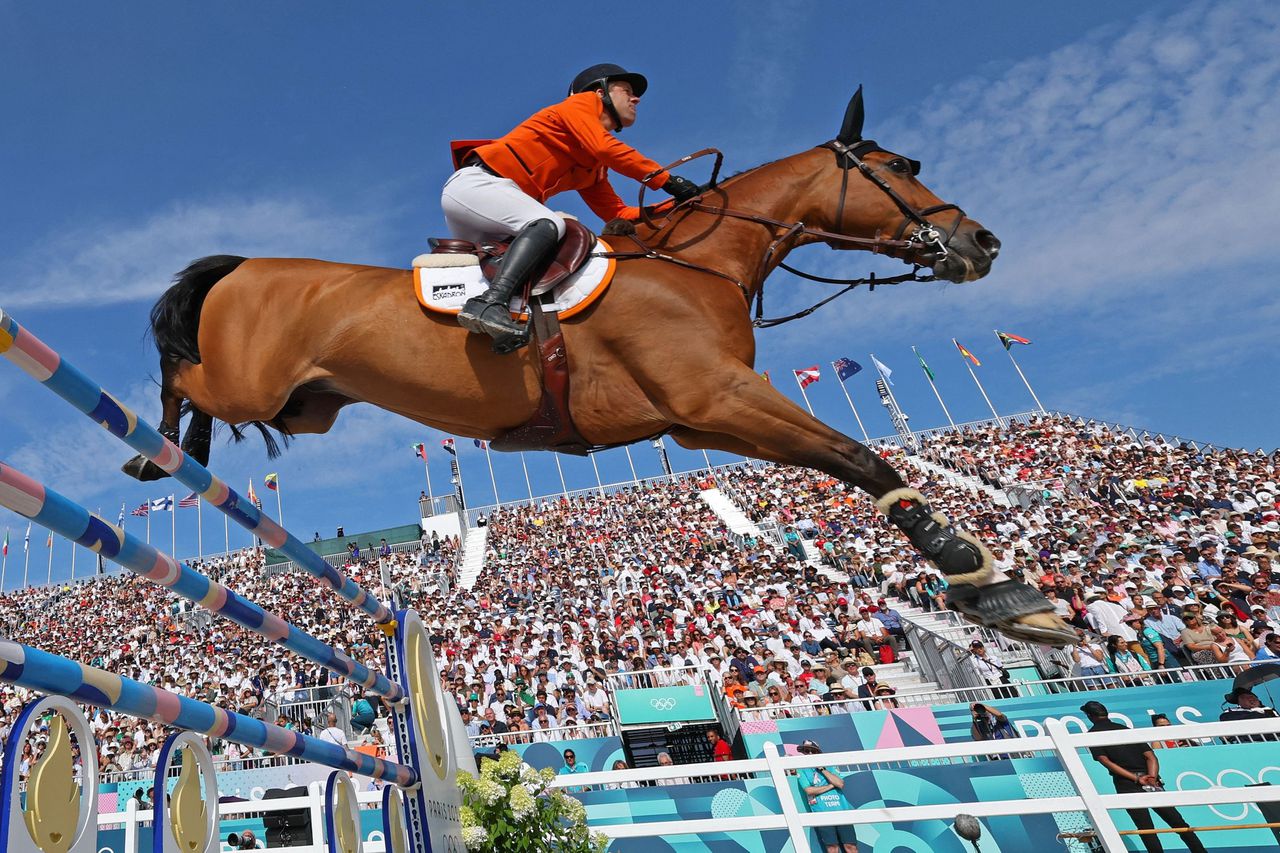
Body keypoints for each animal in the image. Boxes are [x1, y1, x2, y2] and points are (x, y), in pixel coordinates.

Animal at [124, 87, 1075, 645]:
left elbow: (843, 458)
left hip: (306, 403)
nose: (980, 241)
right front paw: (991, 583)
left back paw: (186, 455)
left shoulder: (702, 419)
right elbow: (860, 456)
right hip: (250, 380)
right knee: (179, 373)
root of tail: (243, 265)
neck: (702, 261)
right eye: (900, 167)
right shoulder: (722, 398)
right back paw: (154, 453)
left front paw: (992, 583)